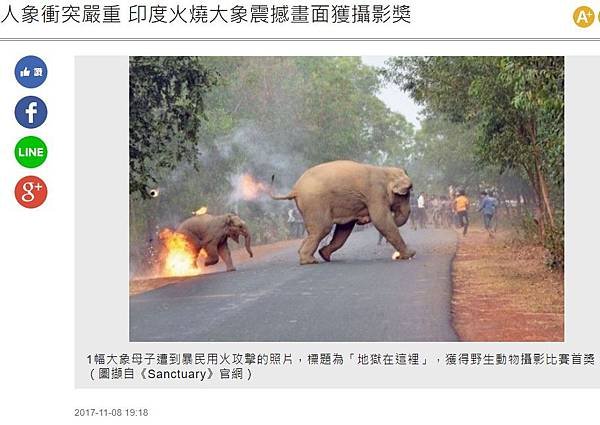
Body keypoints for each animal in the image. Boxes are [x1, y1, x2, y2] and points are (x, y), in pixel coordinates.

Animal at [270, 161, 412, 264]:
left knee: (315, 231)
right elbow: (381, 220)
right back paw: (310, 261)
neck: (386, 171)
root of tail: (295, 189)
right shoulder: (375, 194)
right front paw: (410, 254)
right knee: (323, 229)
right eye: (406, 194)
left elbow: (344, 229)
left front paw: (324, 254)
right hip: (315, 202)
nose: (364, 220)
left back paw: (315, 257)